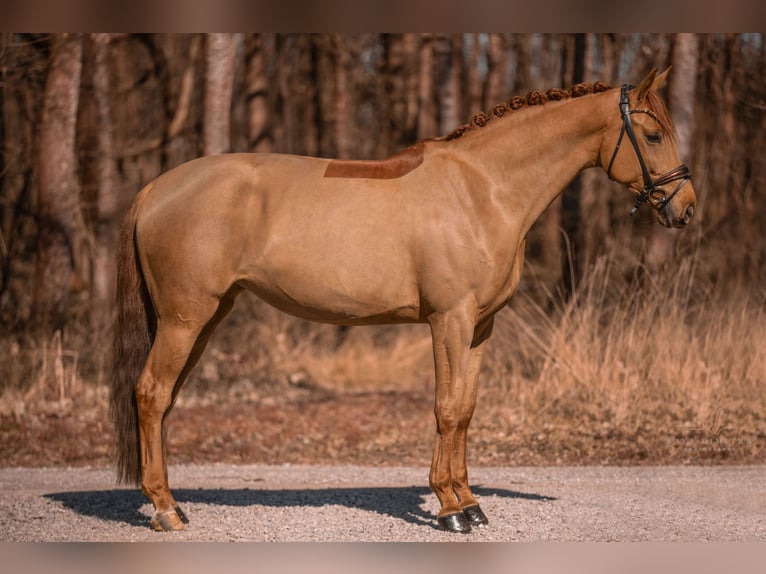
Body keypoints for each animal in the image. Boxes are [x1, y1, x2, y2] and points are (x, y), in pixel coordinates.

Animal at [112, 68, 696, 536]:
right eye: (652, 134)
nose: (686, 208)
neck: (481, 190)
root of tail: (156, 188)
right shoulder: (449, 320)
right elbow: (446, 407)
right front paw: (450, 509)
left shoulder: (481, 326)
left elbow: (466, 410)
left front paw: (469, 501)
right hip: (185, 319)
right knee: (151, 394)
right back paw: (165, 510)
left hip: (206, 318)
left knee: (164, 400)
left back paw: (169, 502)